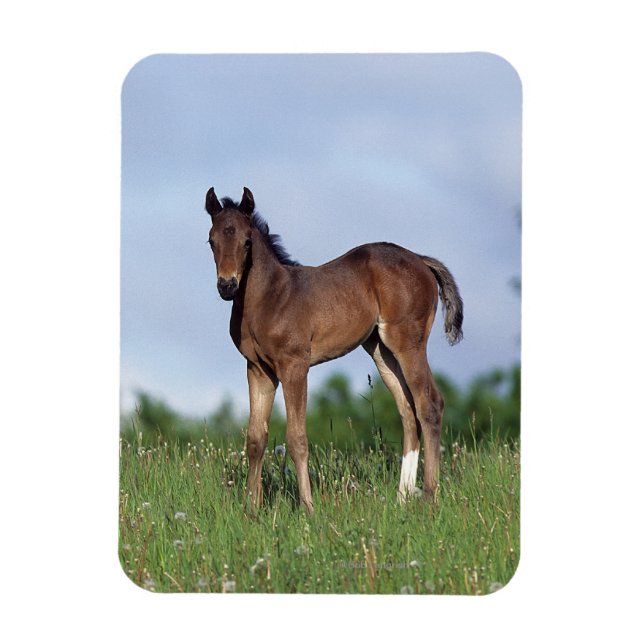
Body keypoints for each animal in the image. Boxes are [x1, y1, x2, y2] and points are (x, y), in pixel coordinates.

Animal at [204, 186, 463, 513]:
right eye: (211, 241)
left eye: (247, 241)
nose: (227, 286)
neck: (270, 297)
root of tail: (420, 259)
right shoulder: (258, 369)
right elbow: (255, 438)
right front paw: (251, 509)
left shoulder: (294, 365)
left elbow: (297, 437)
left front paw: (308, 507)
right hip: (381, 350)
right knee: (407, 410)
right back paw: (401, 498)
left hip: (408, 342)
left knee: (429, 404)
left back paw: (429, 496)